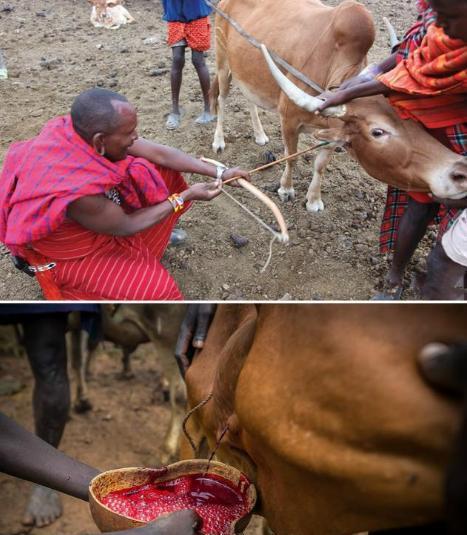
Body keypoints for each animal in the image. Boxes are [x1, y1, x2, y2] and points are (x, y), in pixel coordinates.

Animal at [213, 0, 467, 214]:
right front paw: (286, 189)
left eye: (414, 120)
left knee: (249, 98)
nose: (459, 173)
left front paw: (314, 200)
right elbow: (291, 157)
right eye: (378, 132)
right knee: (221, 100)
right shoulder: (289, 121)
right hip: (223, 62)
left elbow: (320, 165)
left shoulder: (333, 134)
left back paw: (259, 134)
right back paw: (218, 140)